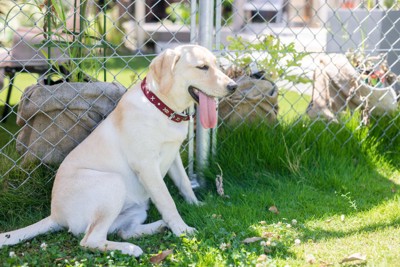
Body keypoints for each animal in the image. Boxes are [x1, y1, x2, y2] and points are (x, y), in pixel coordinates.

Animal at [0, 45, 238, 256]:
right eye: (202, 67)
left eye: (217, 65)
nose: (234, 86)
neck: (162, 107)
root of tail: (56, 215)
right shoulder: (147, 167)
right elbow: (167, 200)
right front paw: (182, 229)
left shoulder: (174, 158)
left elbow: (185, 184)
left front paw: (196, 205)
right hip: (113, 182)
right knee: (91, 240)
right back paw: (131, 249)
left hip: (136, 207)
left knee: (122, 231)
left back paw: (156, 227)